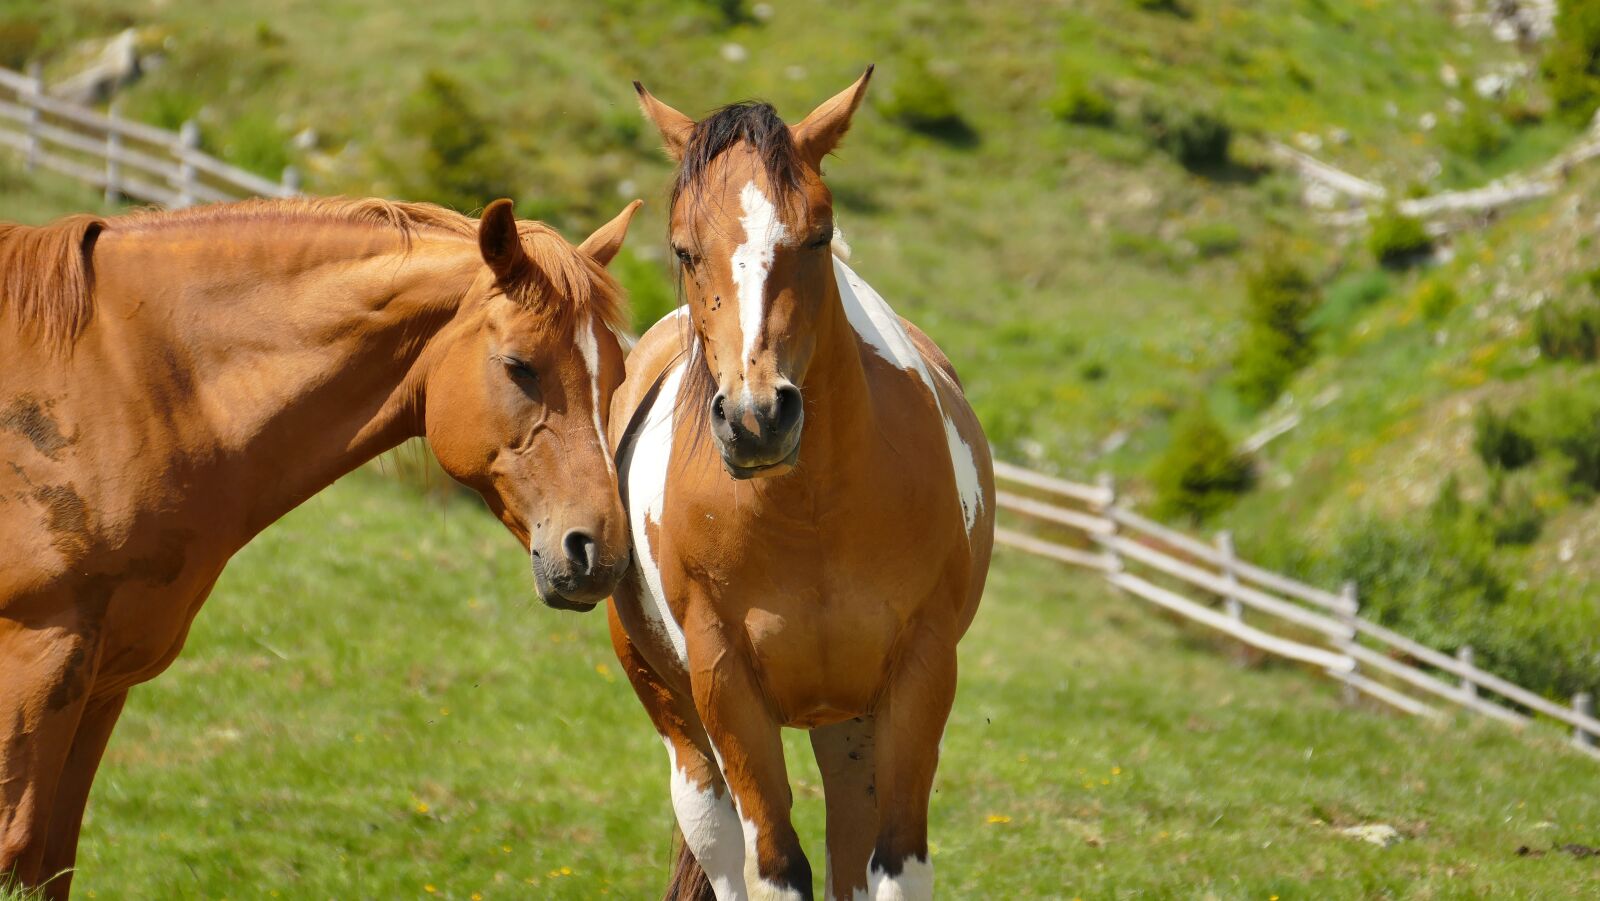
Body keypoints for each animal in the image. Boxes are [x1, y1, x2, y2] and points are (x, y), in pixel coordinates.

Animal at [0, 194, 641, 897]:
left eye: (616, 377)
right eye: (519, 366)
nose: (600, 553)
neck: (127, 385)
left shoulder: (100, 686)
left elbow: (50, 863)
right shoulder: (37, 660)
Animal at [607, 69, 995, 901]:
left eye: (818, 236)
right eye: (684, 248)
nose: (757, 418)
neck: (809, 514)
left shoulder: (919, 673)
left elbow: (895, 862)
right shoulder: (727, 685)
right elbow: (777, 864)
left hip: (848, 725)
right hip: (685, 726)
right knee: (722, 843)